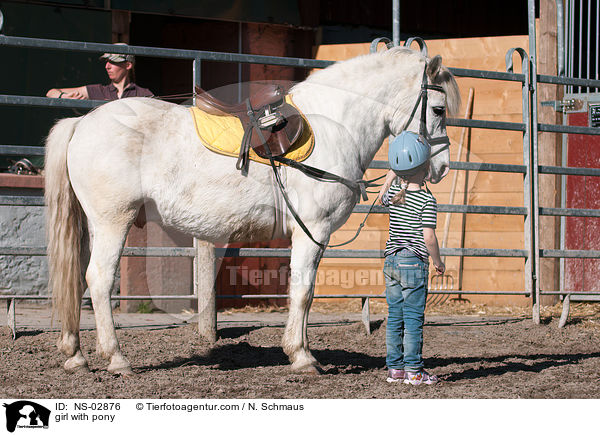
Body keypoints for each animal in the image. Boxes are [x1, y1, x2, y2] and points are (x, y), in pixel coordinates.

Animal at [45, 46, 460, 374]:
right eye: (438, 109)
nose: (441, 168)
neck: (335, 124)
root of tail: (82, 122)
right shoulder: (314, 231)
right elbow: (303, 290)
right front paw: (302, 356)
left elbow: (304, 291)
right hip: (113, 221)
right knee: (99, 280)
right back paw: (116, 359)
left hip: (93, 225)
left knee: (78, 279)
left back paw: (76, 354)